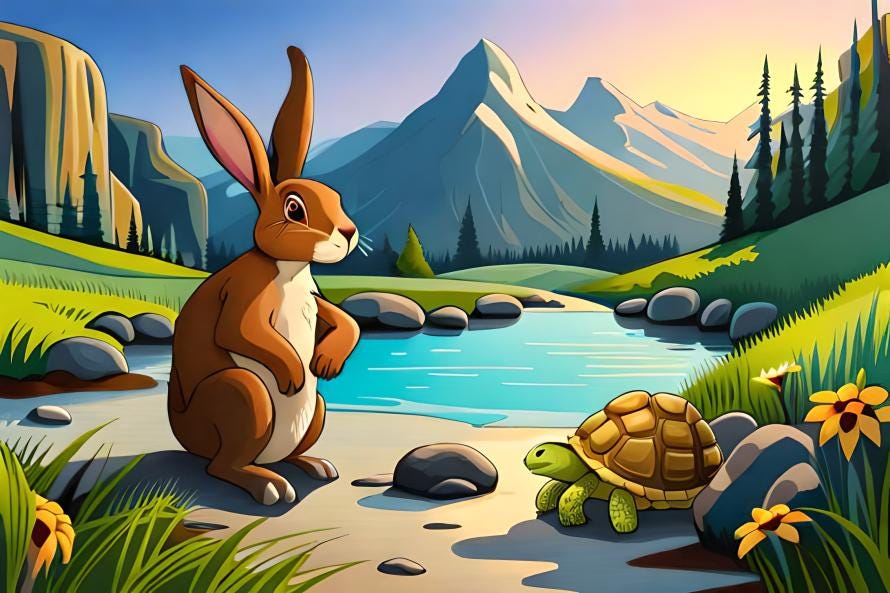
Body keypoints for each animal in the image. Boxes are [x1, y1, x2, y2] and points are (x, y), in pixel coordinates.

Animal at [167, 46, 361, 506]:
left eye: (336, 197)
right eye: (294, 209)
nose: (348, 233)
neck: (287, 270)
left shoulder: (314, 298)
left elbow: (346, 320)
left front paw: (326, 361)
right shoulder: (245, 295)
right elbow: (237, 330)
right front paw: (293, 373)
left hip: (317, 410)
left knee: (287, 451)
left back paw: (314, 464)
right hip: (244, 395)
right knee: (221, 465)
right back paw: (267, 485)